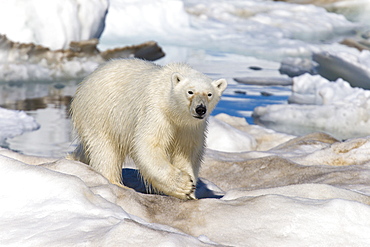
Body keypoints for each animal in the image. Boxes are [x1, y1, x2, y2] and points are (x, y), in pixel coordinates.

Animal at [69, 58, 225, 200]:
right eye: (190, 92)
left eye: (209, 94)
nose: (200, 109)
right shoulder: (156, 111)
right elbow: (148, 145)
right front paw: (183, 185)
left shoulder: (191, 127)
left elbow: (187, 152)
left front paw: (191, 193)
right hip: (100, 112)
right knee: (105, 149)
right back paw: (115, 182)